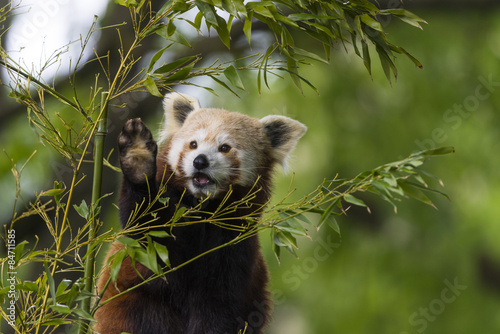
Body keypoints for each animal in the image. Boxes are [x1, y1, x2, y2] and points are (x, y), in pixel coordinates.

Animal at [93, 92, 304, 334]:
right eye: (193, 144)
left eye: (224, 147)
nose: (200, 161)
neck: (204, 206)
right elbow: (147, 226)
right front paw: (138, 158)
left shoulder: (234, 249)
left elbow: (218, 307)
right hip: (127, 303)